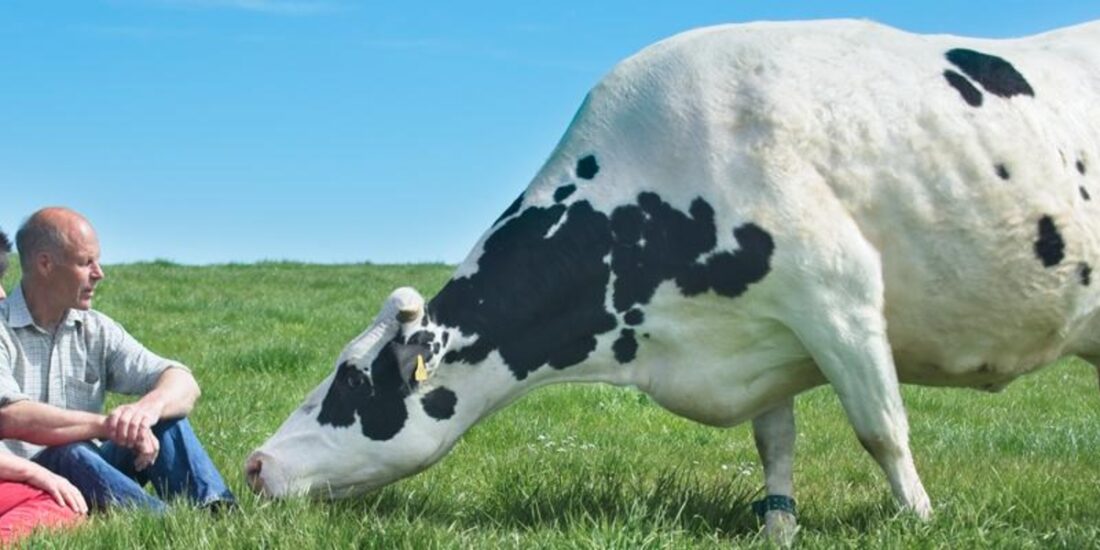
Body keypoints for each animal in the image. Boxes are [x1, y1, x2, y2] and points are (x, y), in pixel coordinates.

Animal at [246, 18, 1100, 541]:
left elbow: (882, 429)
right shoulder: (767, 334)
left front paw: (920, 520)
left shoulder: (839, 298)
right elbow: (775, 441)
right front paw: (779, 527)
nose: (254, 464)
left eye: (353, 379)